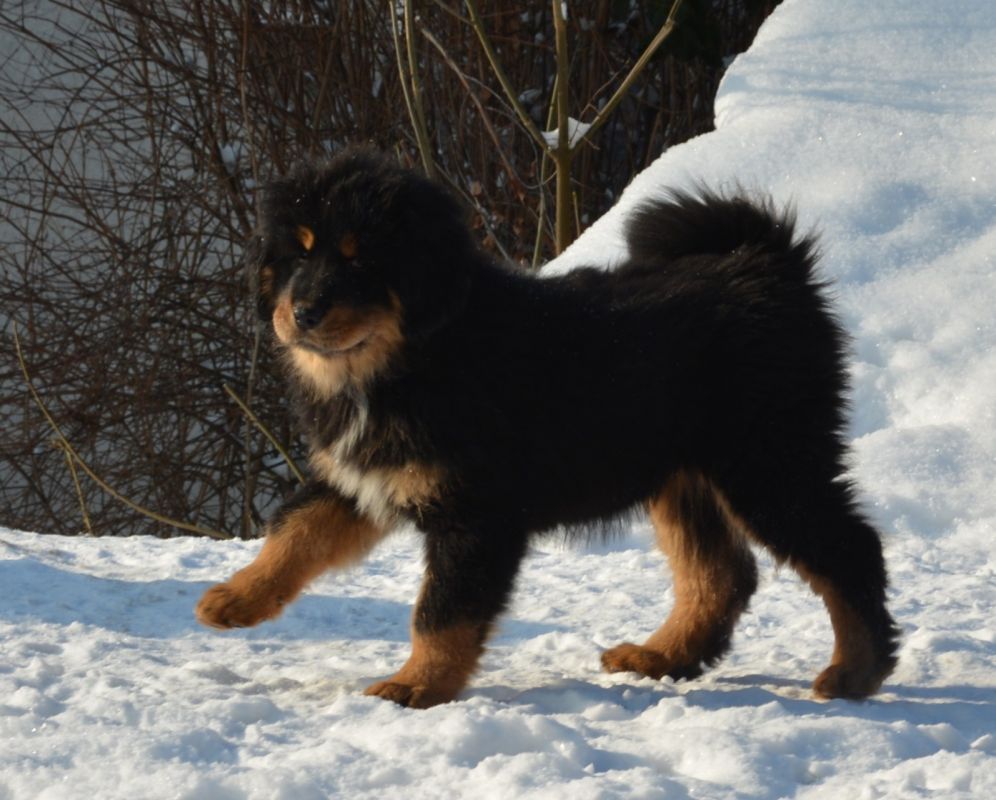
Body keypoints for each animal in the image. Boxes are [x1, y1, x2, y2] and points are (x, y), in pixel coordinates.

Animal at [196, 148, 899, 708]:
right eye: (297, 256)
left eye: (362, 262)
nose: (303, 311)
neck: (413, 357)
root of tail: (767, 263)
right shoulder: (360, 477)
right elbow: (295, 533)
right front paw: (235, 599)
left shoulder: (475, 515)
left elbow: (441, 612)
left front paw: (418, 685)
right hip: (684, 475)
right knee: (721, 574)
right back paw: (662, 656)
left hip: (767, 460)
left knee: (848, 550)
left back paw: (855, 672)